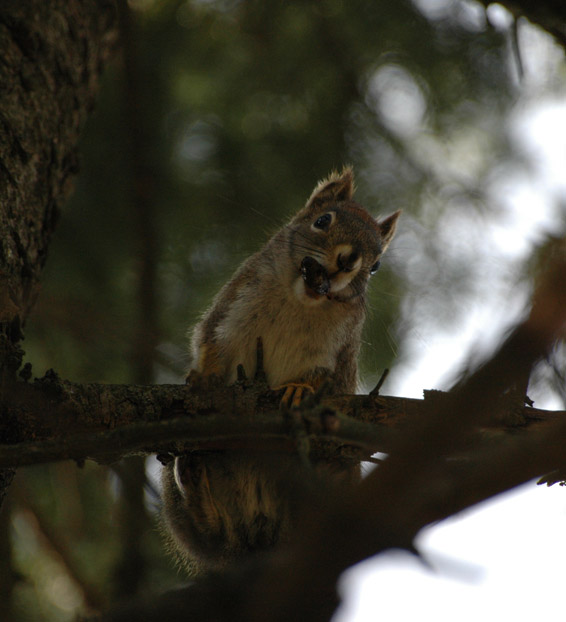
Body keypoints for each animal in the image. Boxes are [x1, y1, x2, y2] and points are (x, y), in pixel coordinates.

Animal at [162, 167, 402, 576]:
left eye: (376, 266)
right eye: (322, 220)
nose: (348, 260)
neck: (301, 300)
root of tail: (261, 545)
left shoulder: (338, 354)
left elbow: (326, 382)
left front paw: (300, 389)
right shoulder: (232, 305)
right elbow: (208, 341)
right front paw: (205, 377)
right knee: (214, 533)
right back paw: (195, 482)